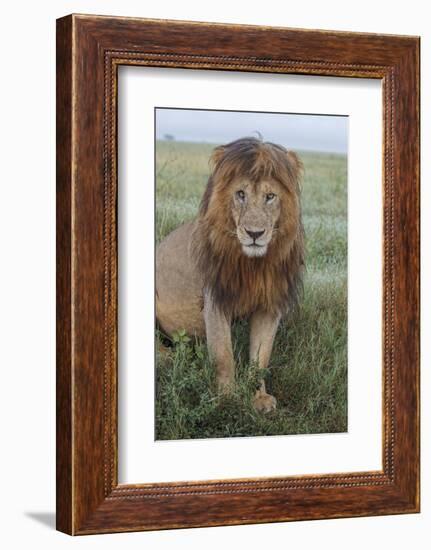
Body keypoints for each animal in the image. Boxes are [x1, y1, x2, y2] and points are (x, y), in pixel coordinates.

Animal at [155, 138, 304, 414]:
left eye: (270, 196)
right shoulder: (215, 300)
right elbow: (223, 355)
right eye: (241, 194)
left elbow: (261, 356)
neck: (254, 264)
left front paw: (259, 398)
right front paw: (227, 399)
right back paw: (171, 357)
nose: (254, 233)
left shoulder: (270, 305)